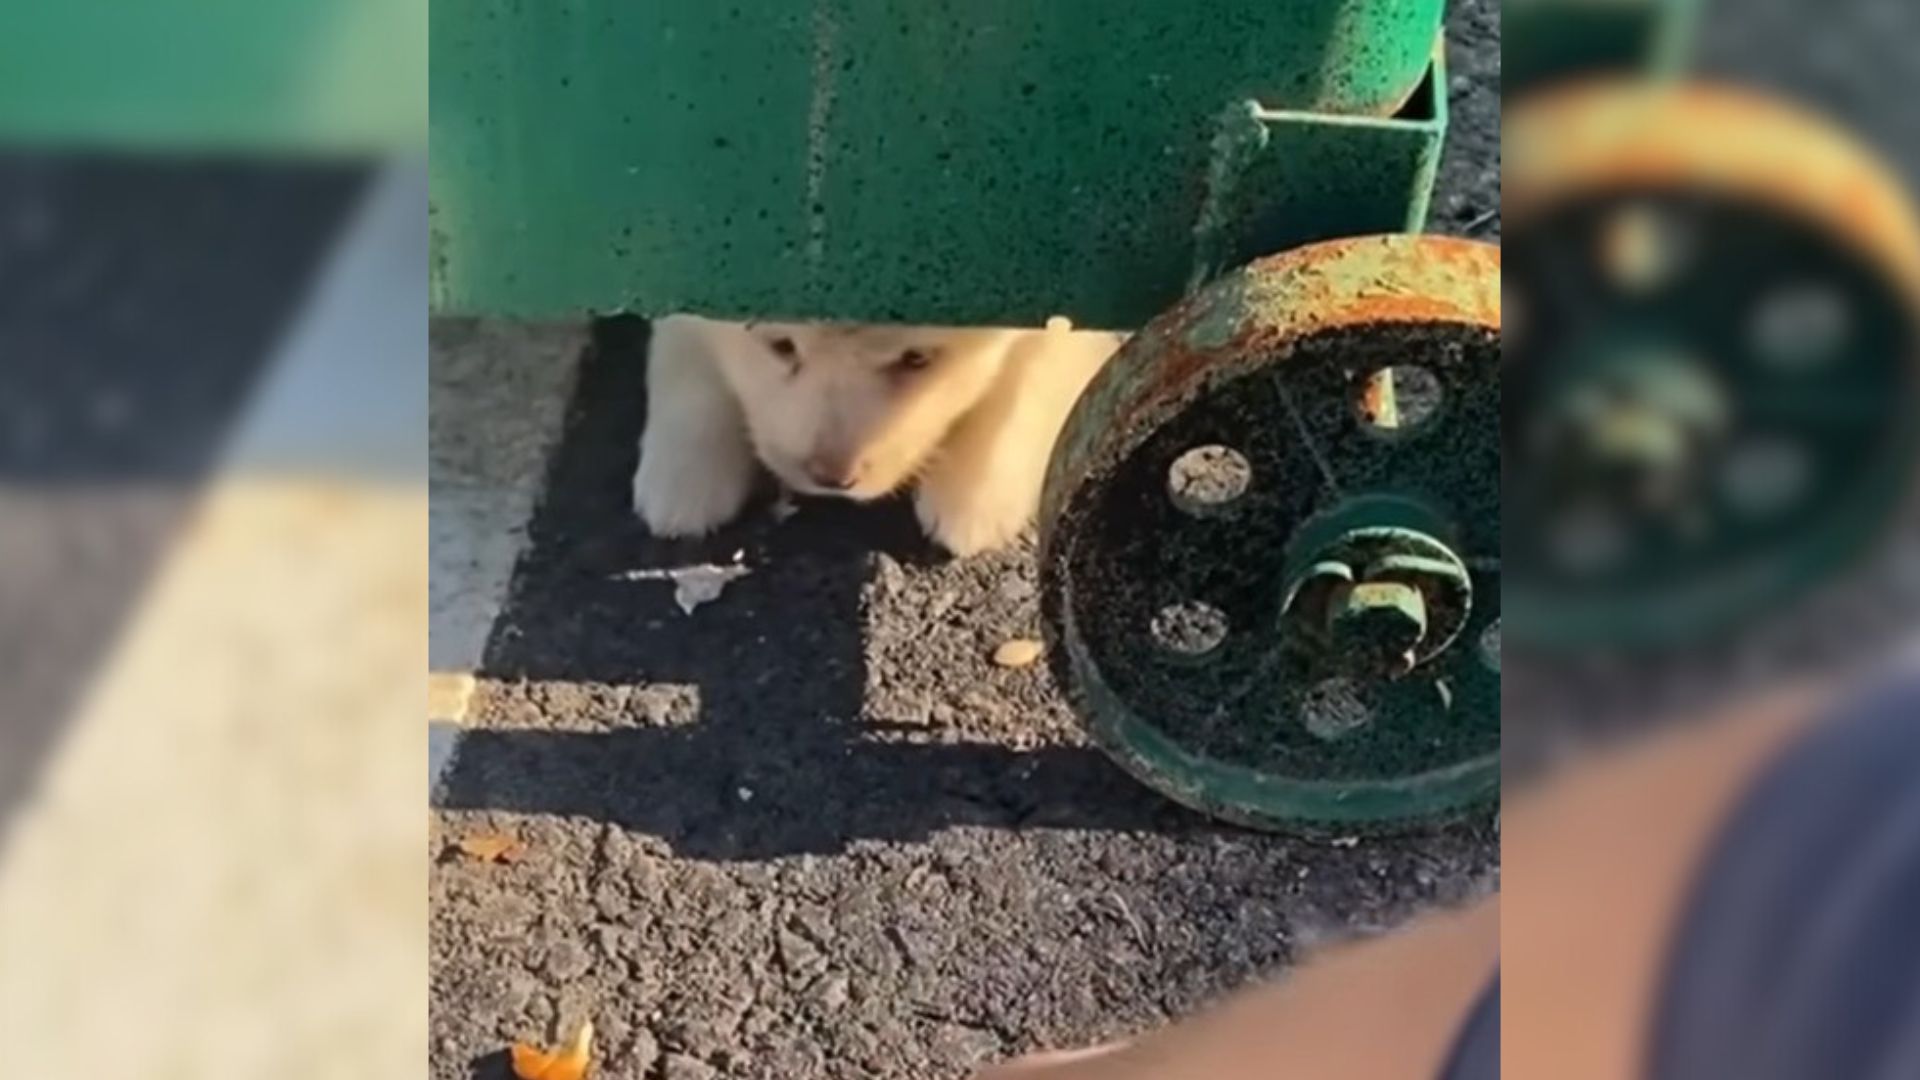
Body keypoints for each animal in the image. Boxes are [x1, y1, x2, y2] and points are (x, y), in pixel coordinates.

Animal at [629, 309, 1121, 545]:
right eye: (781, 345)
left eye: (917, 359)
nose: (830, 478)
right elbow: (684, 340)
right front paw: (685, 476)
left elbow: (1041, 362)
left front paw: (973, 492)